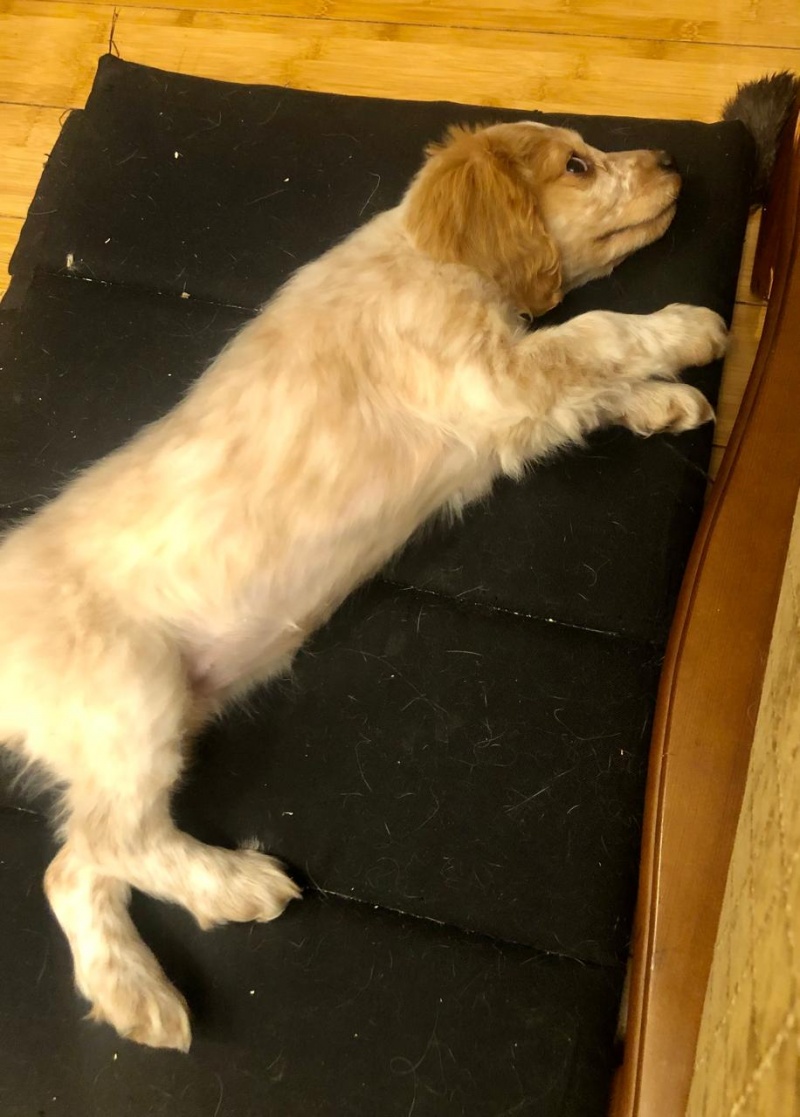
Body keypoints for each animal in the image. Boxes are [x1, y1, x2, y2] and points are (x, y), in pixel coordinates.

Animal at [0, 119, 727, 1051]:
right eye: (578, 164)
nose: (671, 160)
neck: (423, 255)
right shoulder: (496, 378)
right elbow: (595, 332)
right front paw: (690, 327)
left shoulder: (513, 411)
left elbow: (592, 383)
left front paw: (663, 402)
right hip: (132, 700)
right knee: (112, 840)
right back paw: (237, 885)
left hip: (138, 730)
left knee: (71, 865)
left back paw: (133, 992)